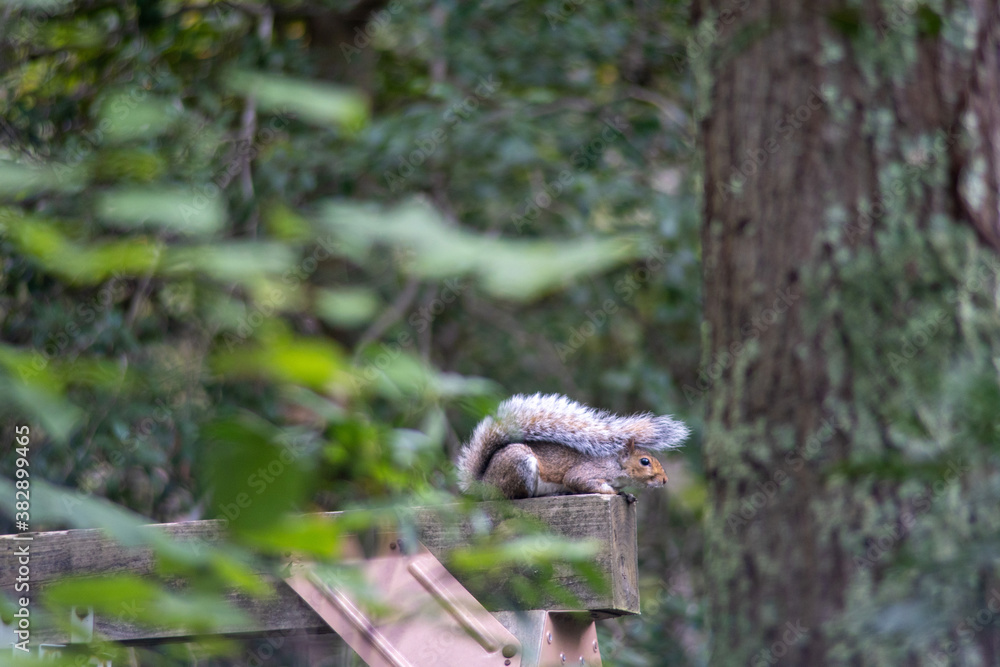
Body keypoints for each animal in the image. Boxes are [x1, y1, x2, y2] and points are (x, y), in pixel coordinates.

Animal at [456, 393, 689, 501]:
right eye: (644, 461)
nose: (665, 480)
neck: (615, 466)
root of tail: (482, 484)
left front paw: (627, 494)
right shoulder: (585, 473)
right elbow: (578, 480)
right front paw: (614, 491)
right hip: (519, 465)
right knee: (515, 496)